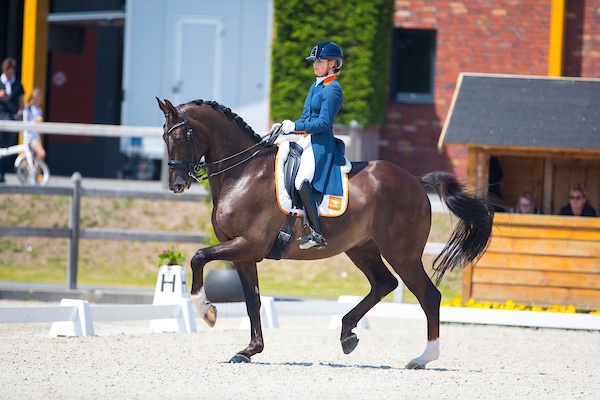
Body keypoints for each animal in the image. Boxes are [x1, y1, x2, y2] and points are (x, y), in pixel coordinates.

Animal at [158, 97, 492, 368]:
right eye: (164, 135)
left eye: (181, 135)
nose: (177, 185)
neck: (243, 173)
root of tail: (415, 181)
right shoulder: (241, 253)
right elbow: (252, 301)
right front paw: (249, 349)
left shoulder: (249, 245)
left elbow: (198, 257)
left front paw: (206, 311)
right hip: (361, 248)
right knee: (384, 284)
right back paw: (347, 334)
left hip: (402, 253)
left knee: (428, 296)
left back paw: (423, 357)